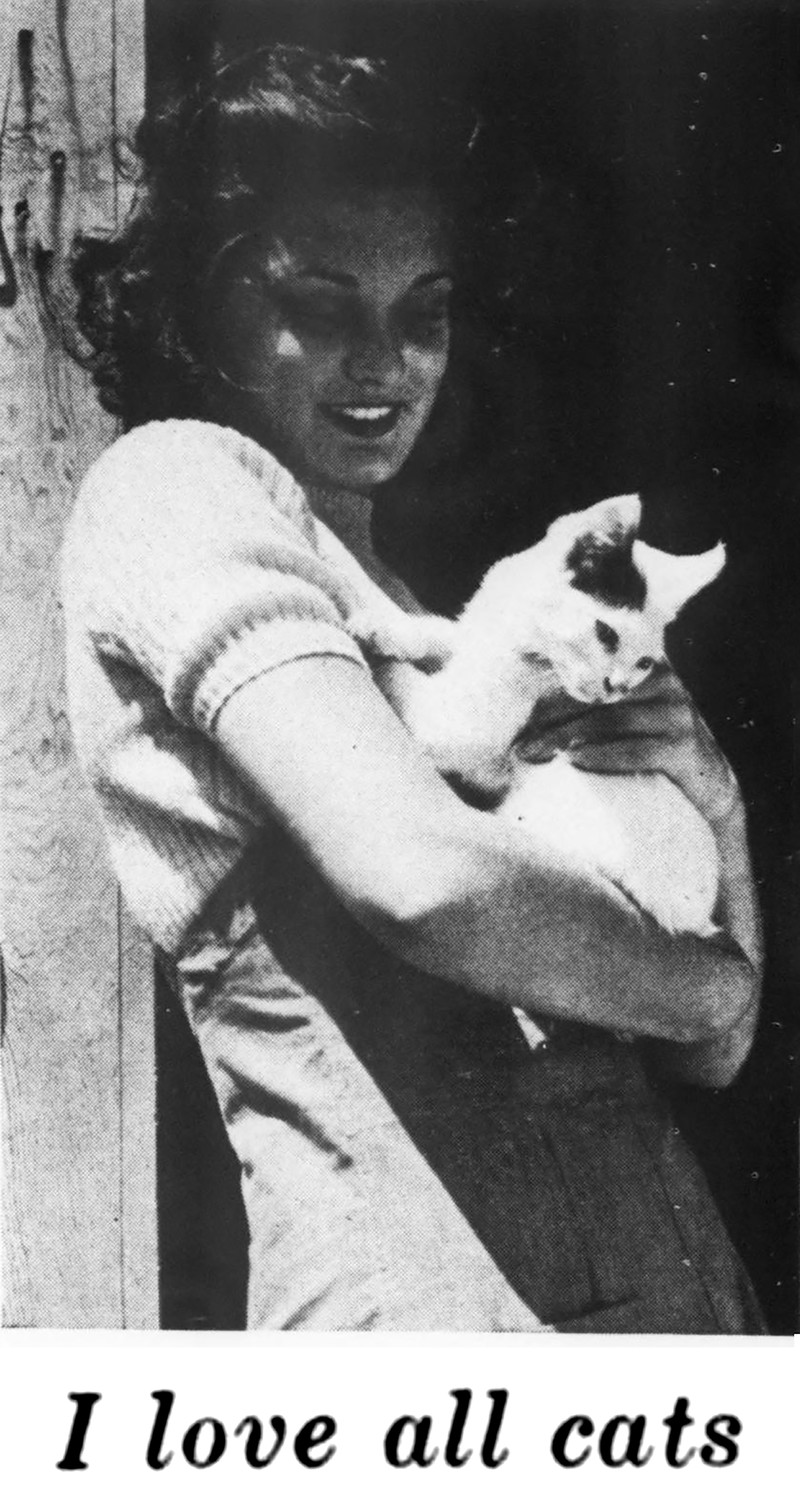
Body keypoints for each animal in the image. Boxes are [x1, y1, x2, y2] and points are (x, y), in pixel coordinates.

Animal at [317, 493, 726, 952]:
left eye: (644, 663)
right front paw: (388, 627)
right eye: (606, 634)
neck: (523, 635)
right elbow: (445, 634)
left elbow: (409, 687)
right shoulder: (474, 642)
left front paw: (336, 576)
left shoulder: (457, 728)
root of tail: (692, 916)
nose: (615, 689)